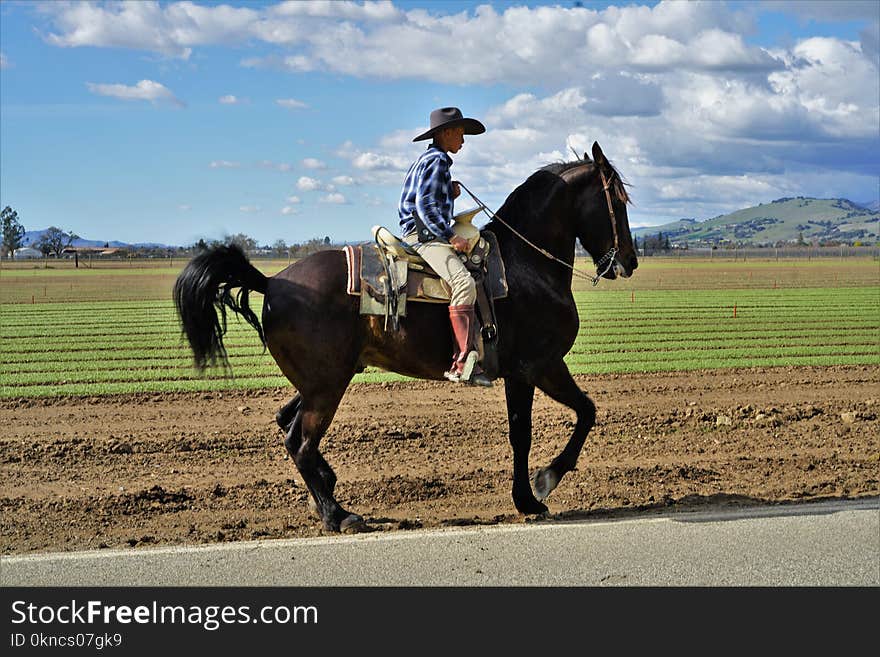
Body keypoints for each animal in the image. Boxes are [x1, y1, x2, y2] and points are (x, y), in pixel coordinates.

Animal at [174, 141, 640, 532]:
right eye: (617, 200)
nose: (630, 262)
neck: (526, 265)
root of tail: (271, 282)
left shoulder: (526, 372)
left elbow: (543, 424)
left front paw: (532, 492)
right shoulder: (537, 367)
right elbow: (567, 418)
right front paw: (539, 487)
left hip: (324, 380)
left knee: (285, 421)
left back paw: (327, 488)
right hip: (326, 386)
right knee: (299, 441)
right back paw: (338, 514)